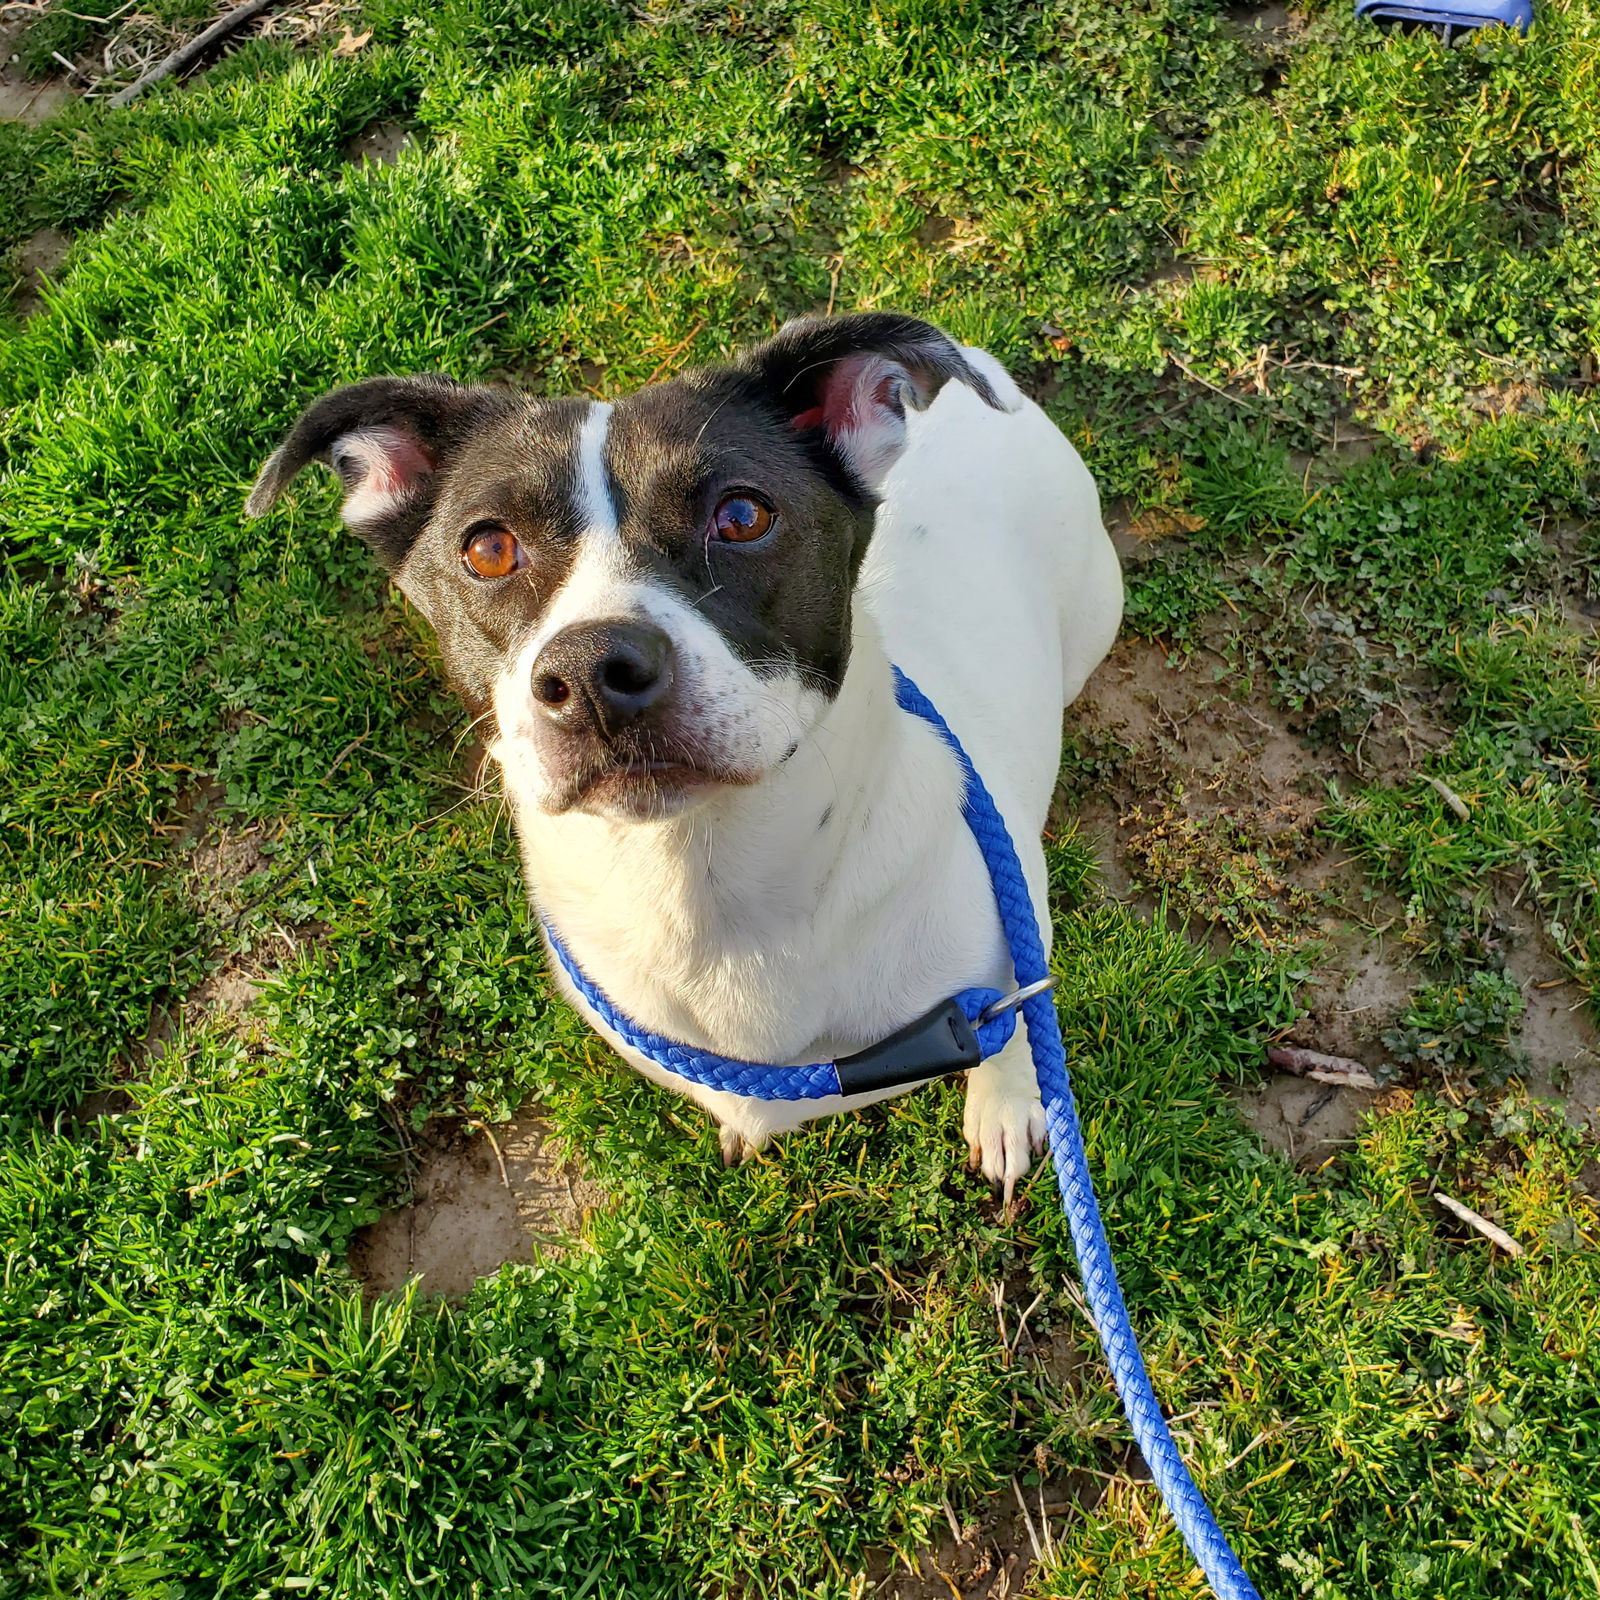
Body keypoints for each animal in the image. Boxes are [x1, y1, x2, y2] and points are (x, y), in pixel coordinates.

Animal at [252, 312, 1126, 1196]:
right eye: (487, 549)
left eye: (741, 516)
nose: (592, 673)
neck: (703, 885)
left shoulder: (1007, 954)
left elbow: (1015, 1034)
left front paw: (1008, 1108)